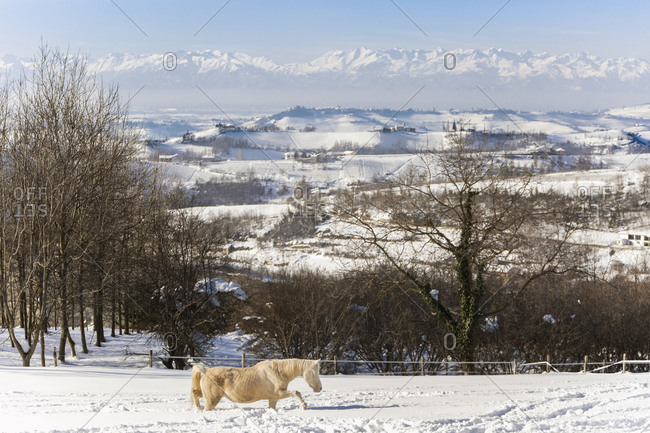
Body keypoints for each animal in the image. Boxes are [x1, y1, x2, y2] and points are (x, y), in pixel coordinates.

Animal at [190, 359, 322, 411]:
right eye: (315, 371)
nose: (319, 388)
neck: (278, 372)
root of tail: (205, 371)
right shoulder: (279, 393)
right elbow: (296, 392)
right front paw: (304, 405)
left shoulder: (273, 398)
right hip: (212, 400)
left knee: (195, 393)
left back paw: (198, 407)